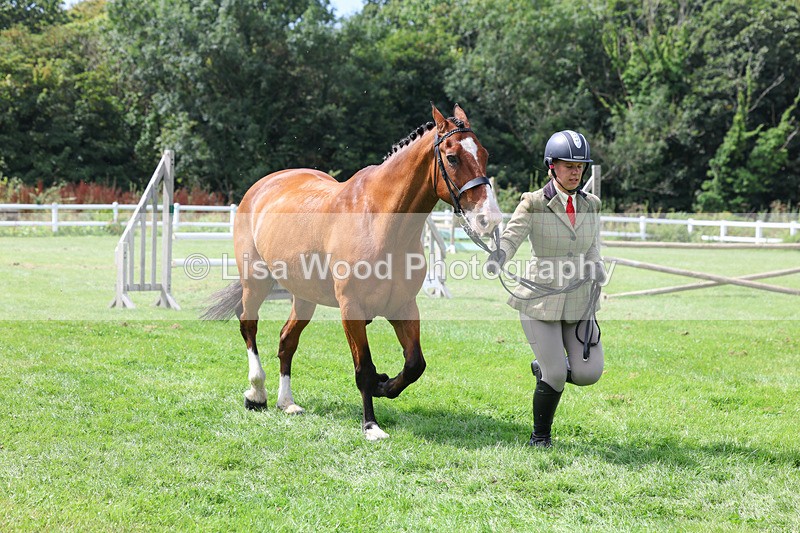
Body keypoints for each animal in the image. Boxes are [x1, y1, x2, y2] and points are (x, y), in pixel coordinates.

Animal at [203, 104, 502, 440]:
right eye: (452, 158)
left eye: (484, 154)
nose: (489, 219)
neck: (381, 222)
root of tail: (262, 186)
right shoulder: (352, 310)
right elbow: (364, 369)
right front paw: (371, 425)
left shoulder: (403, 307)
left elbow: (414, 364)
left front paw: (385, 385)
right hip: (255, 281)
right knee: (248, 326)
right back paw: (256, 394)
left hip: (304, 297)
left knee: (286, 341)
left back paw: (287, 402)